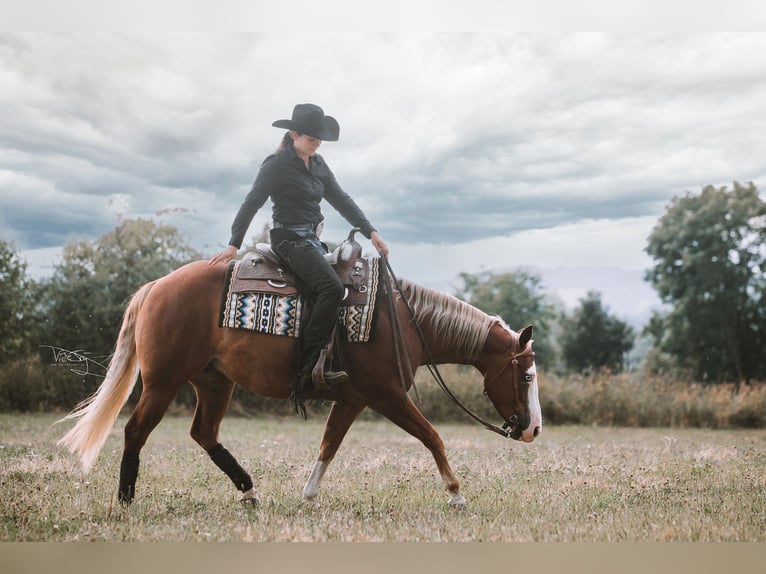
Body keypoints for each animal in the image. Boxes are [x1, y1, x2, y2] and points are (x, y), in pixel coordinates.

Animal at [58, 252, 542, 507]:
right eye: (526, 373)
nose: (534, 429)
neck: (402, 320)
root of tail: (155, 286)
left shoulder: (354, 399)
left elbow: (329, 444)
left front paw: (308, 495)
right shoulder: (385, 395)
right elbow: (433, 437)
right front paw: (456, 493)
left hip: (214, 382)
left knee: (203, 433)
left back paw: (249, 491)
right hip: (162, 383)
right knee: (136, 430)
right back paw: (125, 500)